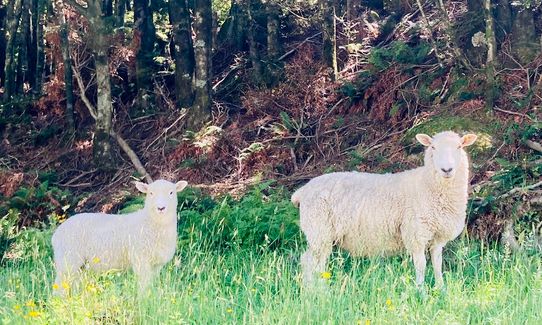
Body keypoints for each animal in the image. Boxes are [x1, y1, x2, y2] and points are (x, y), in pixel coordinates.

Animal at [52, 178, 189, 294]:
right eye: (151, 193)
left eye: (171, 192)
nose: (161, 208)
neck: (149, 222)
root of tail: (56, 234)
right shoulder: (140, 259)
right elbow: (143, 284)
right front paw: (143, 301)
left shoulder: (156, 264)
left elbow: (151, 283)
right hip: (68, 260)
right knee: (60, 286)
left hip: (80, 266)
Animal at [294, 130, 480, 286]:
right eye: (433, 147)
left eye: (459, 147)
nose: (446, 169)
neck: (427, 184)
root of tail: (302, 191)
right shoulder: (415, 233)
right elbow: (421, 265)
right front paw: (421, 292)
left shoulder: (437, 237)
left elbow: (437, 264)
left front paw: (441, 290)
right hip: (319, 230)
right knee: (310, 261)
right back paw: (316, 292)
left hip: (323, 234)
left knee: (316, 262)